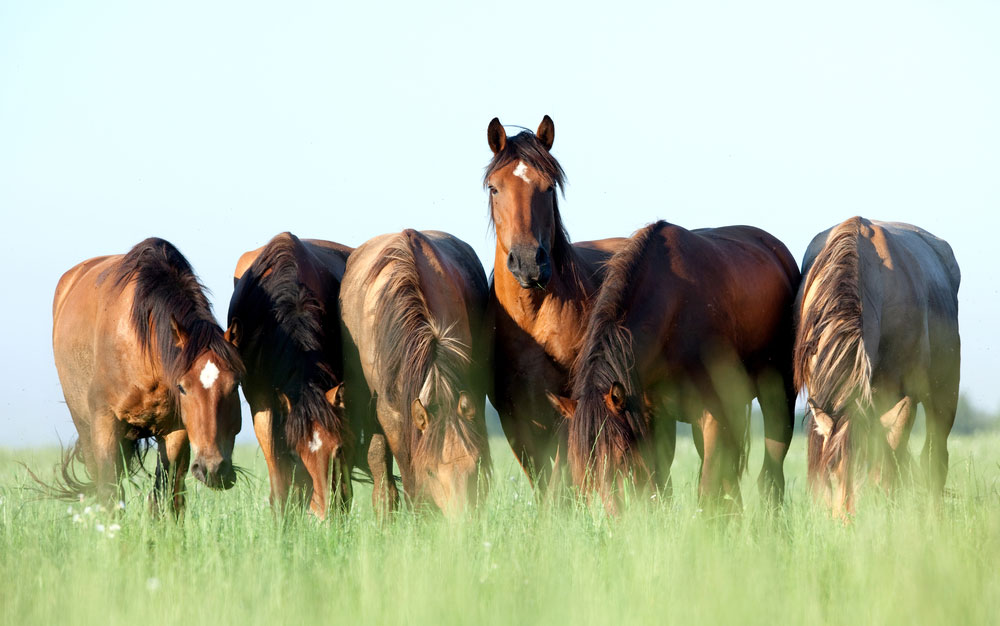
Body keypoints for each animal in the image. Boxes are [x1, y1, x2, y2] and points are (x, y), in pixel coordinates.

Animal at [51, 238, 244, 514]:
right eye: (182, 387)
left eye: (236, 384)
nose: (213, 469)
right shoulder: (105, 421)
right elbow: (109, 492)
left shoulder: (176, 430)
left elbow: (165, 496)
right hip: (85, 427)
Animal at [484, 115, 627, 491]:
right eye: (494, 188)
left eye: (548, 188)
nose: (528, 263)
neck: (533, 318)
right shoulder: (515, 417)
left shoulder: (567, 406)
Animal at [550, 221, 800, 515]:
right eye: (580, 465)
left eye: (621, 456)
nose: (611, 517)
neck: (673, 313)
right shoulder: (652, 417)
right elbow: (660, 485)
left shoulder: (712, 415)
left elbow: (707, 489)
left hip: (778, 399)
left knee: (771, 469)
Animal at [794, 217, 961, 518]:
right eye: (834, 472)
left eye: (867, 476)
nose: (848, 522)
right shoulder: (820, 392)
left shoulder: (904, 397)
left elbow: (892, 459)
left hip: (944, 395)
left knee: (934, 459)